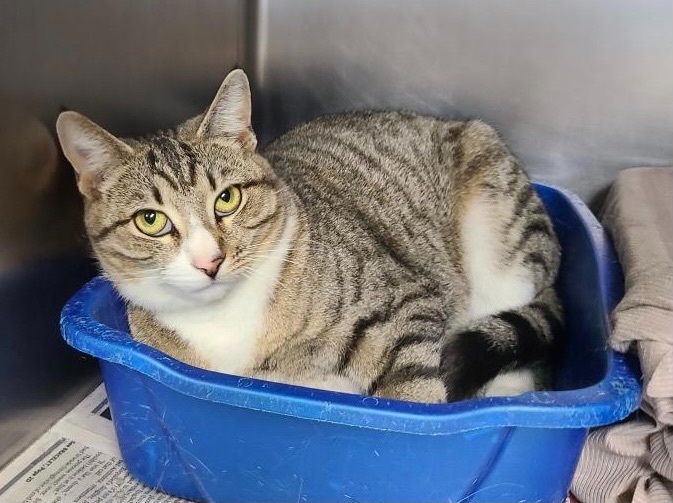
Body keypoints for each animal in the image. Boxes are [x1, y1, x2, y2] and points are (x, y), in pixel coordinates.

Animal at [55, 69, 560, 404]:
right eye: (151, 220)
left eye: (228, 198)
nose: (209, 261)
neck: (225, 319)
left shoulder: (403, 301)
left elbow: (414, 392)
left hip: (498, 238)